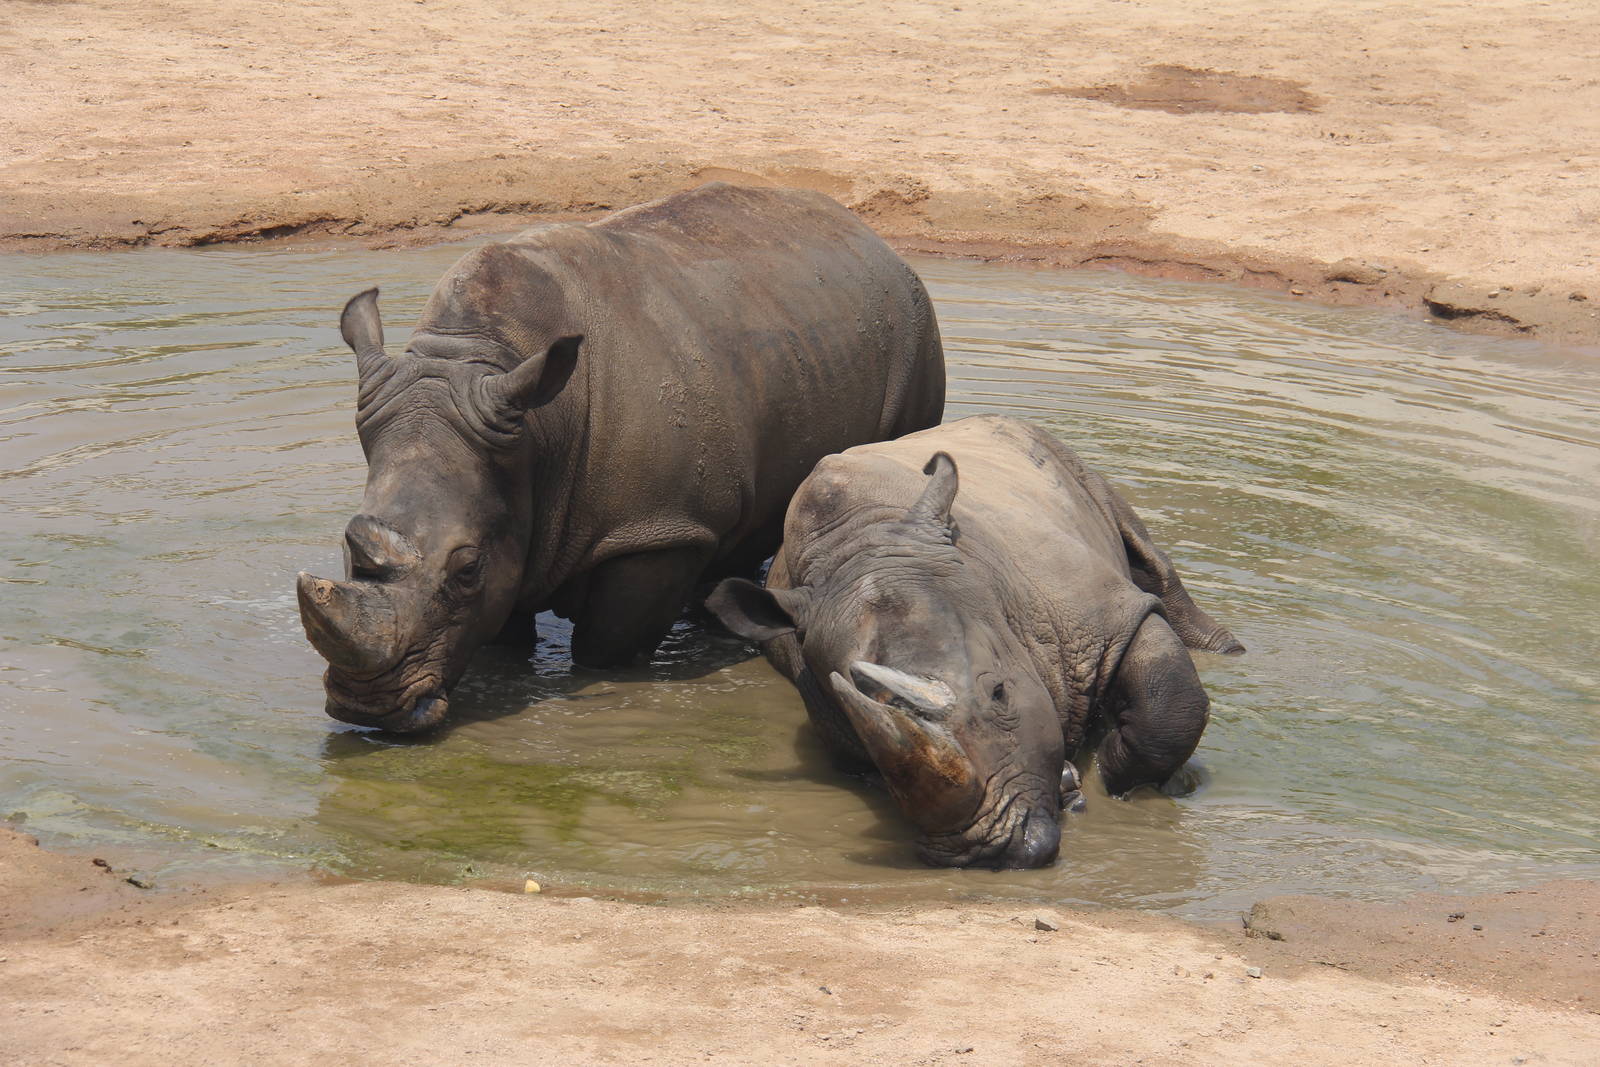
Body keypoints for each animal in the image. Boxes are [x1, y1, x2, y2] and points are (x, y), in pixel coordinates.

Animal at [297, 183, 945, 732]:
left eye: (466, 569)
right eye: (348, 541)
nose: (368, 709)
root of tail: (870, 235)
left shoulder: (656, 530)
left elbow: (603, 648)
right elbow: (503, 628)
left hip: (916, 333)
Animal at [707, 415, 1243, 869]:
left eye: (999, 693)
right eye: (865, 746)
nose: (994, 853)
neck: (862, 542)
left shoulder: (1103, 613)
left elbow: (1169, 704)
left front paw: (1113, 777)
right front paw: (1070, 783)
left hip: (1062, 462)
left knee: (1143, 549)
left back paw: (1228, 649)